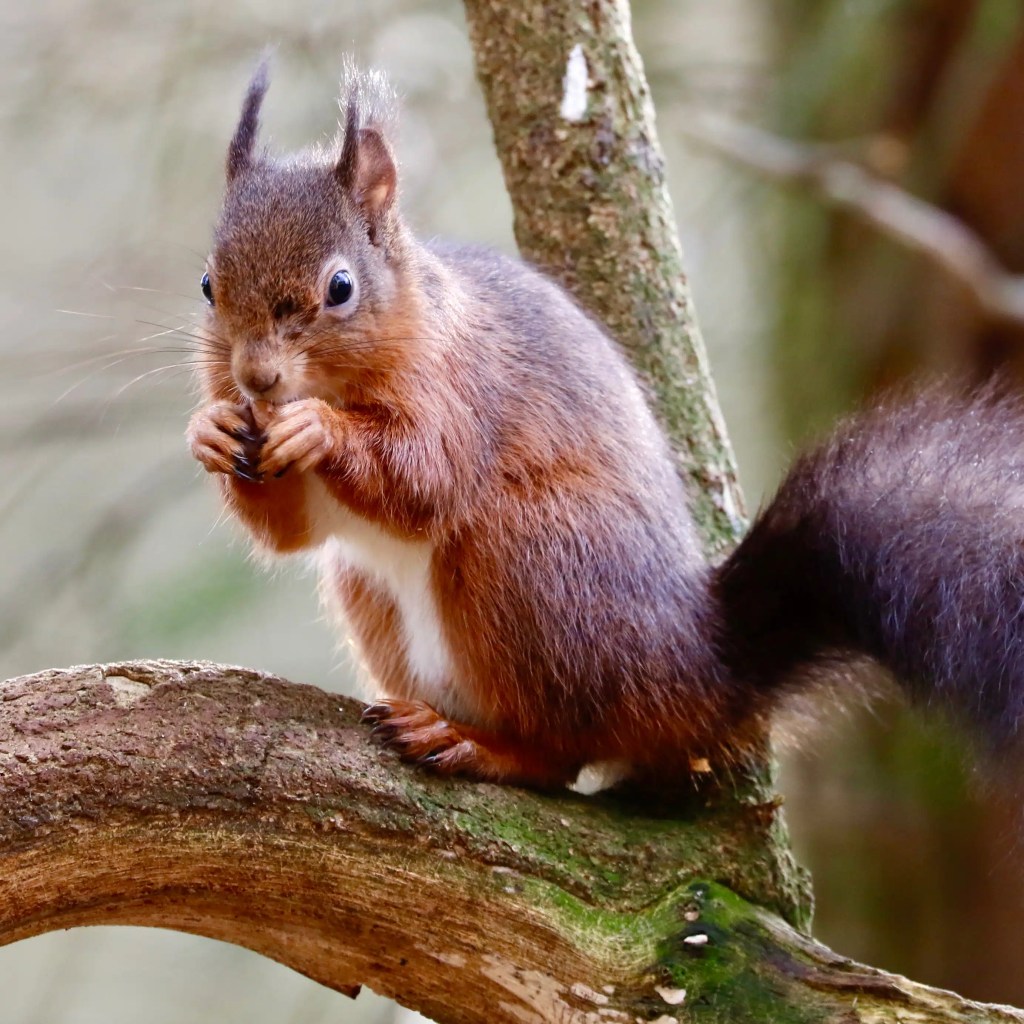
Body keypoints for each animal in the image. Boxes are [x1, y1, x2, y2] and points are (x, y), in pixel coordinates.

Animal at [187, 61, 1024, 790]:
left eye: (340, 288)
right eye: (206, 284)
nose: (257, 379)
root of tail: (695, 665)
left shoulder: (463, 389)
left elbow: (427, 475)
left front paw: (317, 428)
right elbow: (289, 534)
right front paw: (211, 429)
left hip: (524, 561)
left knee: (561, 755)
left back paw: (475, 744)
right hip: (375, 587)